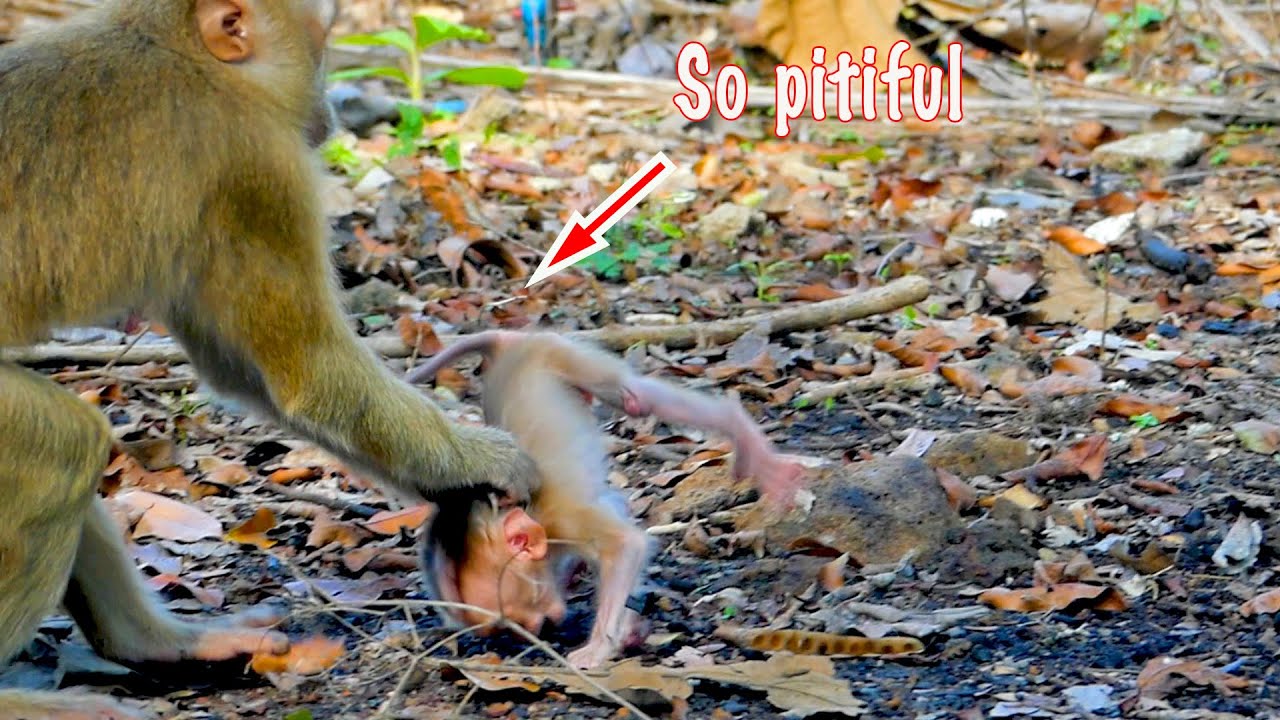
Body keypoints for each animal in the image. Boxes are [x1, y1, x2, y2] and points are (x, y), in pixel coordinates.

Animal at [0, 1, 538, 716]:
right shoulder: (257, 166)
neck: (183, 53)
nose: (330, 108)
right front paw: (483, 459)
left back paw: (156, 642)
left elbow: (245, 372)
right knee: (61, 444)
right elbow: (312, 372)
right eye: (319, 39)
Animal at [410, 331, 807, 667]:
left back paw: (736, 425)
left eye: (522, 608)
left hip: (557, 353)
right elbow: (613, 511)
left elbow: (625, 544)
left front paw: (601, 644)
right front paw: (623, 624)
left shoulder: (564, 518)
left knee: (633, 398)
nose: (537, 629)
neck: (531, 514)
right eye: (509, 625)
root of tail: (511, 347)